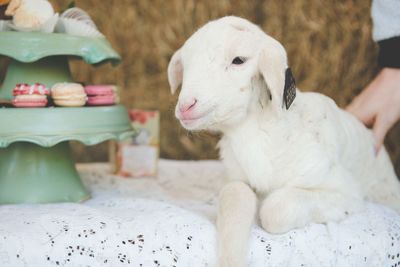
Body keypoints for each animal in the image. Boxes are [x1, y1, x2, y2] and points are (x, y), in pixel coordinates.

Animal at [166, 15, 400, 266]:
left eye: (239, 60)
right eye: (186, 65)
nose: (186, 106)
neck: (255, 133)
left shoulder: (346, 192)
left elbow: (276, 210)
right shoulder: (237, 179)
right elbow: (235, 197)